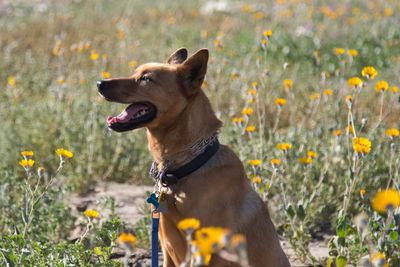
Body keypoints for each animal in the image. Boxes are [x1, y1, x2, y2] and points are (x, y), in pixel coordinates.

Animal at [97, 48, 290, 267]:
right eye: (135, 73)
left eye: (146, 79)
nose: (100, 83)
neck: (183, 169)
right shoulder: (167, 246)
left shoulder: (203, 251)